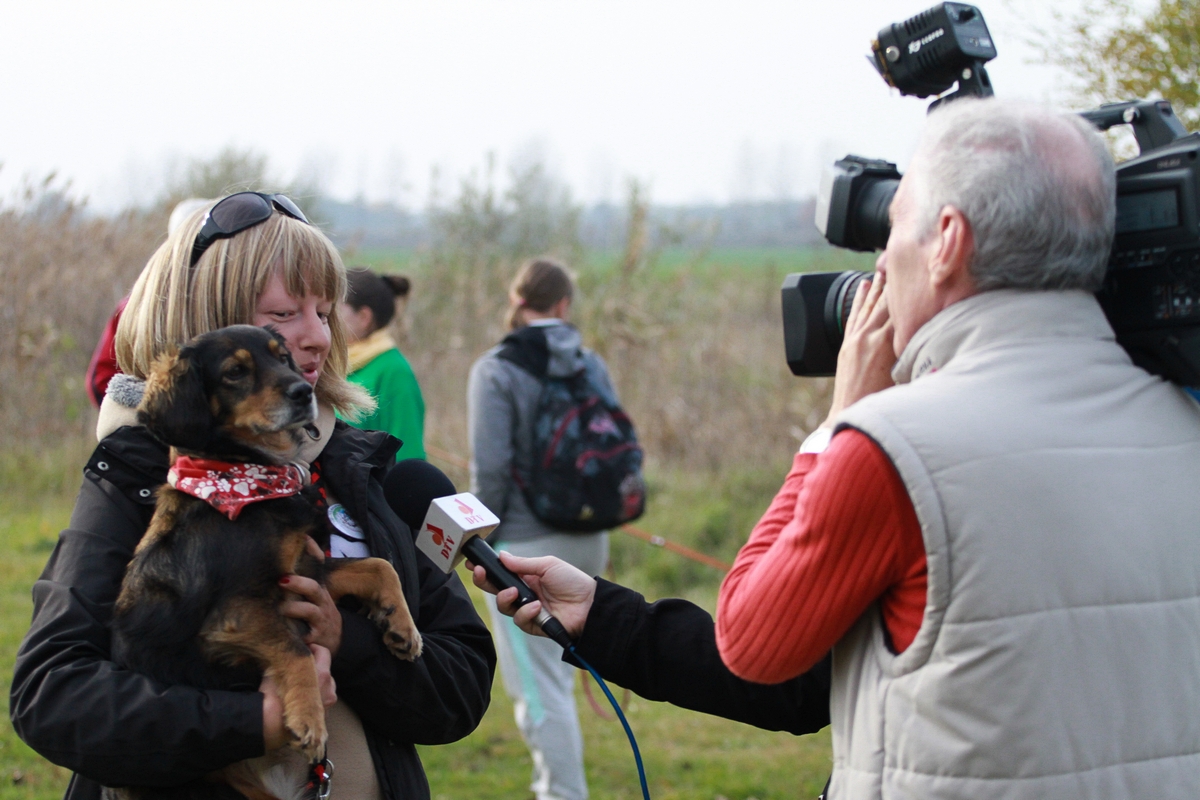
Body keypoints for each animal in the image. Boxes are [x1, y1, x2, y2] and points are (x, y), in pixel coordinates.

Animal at [111, 326, 422, 800]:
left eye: (284, 358)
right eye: (235, 372)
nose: (303, 392)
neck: (247, 479)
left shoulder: (305, 570)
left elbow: (378, 566)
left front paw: (401, 626)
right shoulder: (236, 611)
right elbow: (296, 649)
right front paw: (309, 718)